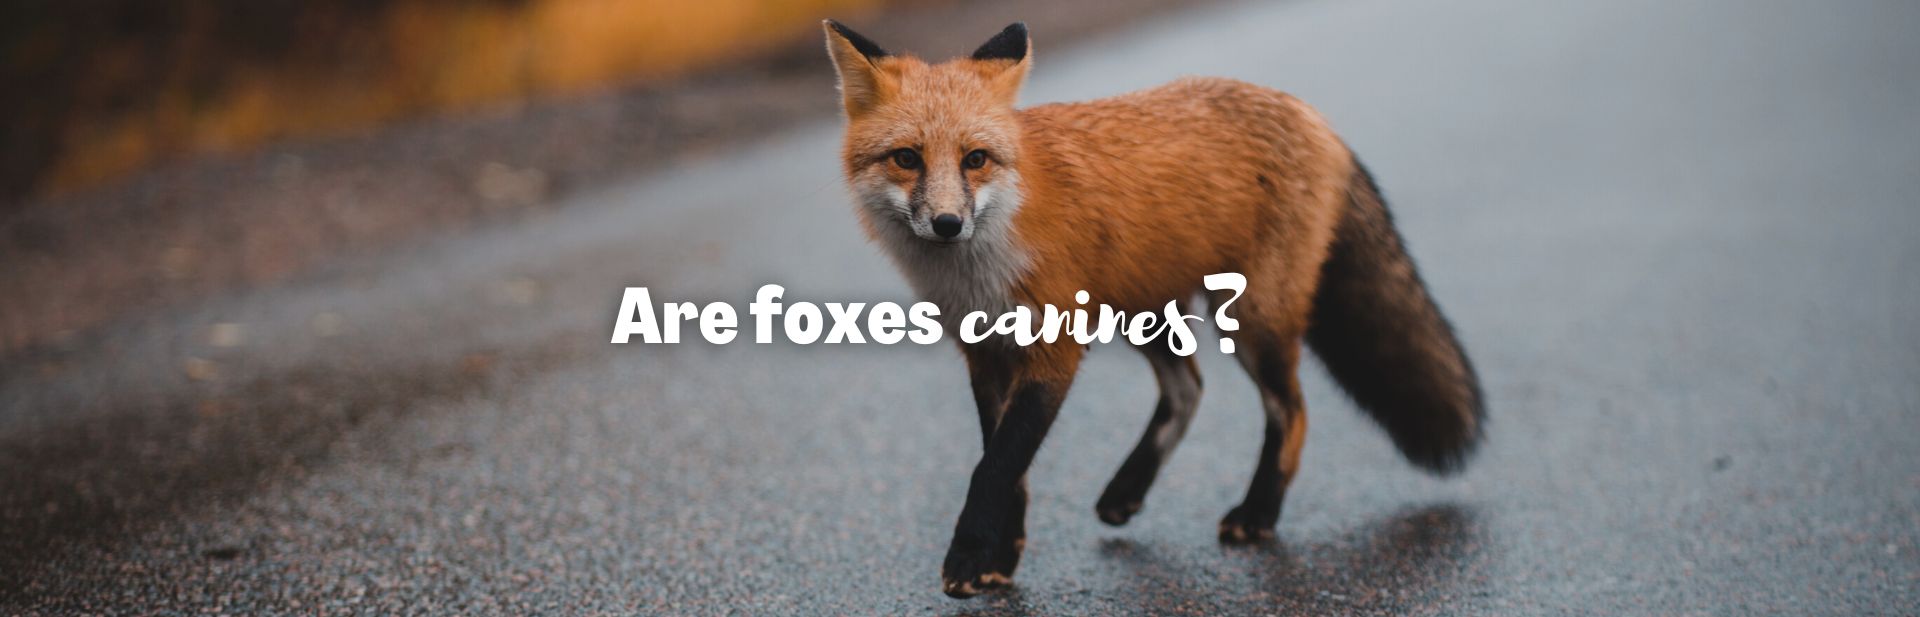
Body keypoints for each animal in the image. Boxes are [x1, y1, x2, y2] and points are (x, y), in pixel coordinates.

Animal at [823, 21, 1485, 598]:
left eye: (975, 159)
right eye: (907, 158)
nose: (947, 224)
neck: (984, 265)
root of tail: (1308, 113)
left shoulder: (1055, 350)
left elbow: (995, 467)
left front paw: (966, 559)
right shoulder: (985, 354)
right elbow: (1008, 466)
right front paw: (1001, 557)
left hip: (1253, 322)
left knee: (1291, 412)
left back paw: (1258, 513)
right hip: (1144, 312)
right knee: (1188, 388)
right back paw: (1128, 490)